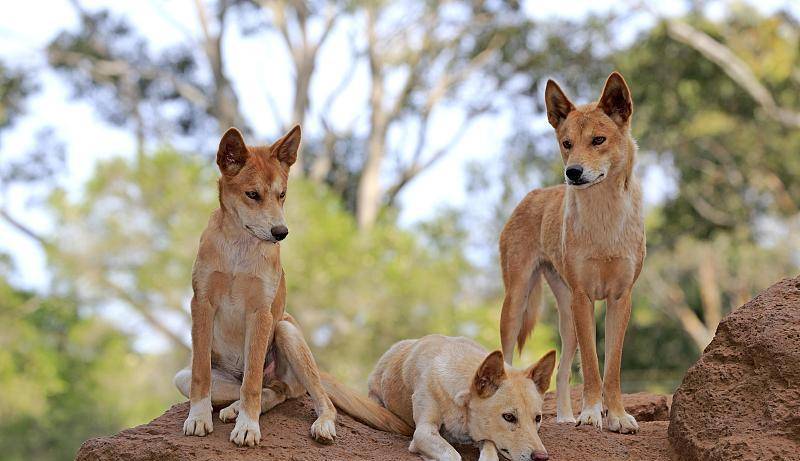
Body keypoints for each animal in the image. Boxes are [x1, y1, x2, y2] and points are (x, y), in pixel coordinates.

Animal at [173, 125, 336, 446]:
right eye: (252, 194)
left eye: (282, 194)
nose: (281, 232)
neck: (240, 246)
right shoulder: (202, 303)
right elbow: (201, 375)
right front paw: (198, 417)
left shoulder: (261, 312)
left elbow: (251, 385)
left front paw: (248, 427)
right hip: (187, 376)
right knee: (263, 388)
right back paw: (232, 408)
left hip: (285, 331)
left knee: (296, 393)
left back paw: (321, 424)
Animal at [320, 334, 556, 460]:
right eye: (509, 417)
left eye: (538, 418)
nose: (542, 457)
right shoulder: (423, 431)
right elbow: (453, 455)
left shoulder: (484, 437)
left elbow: (490, 450)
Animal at [500, 73, 644, 434]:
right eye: (566, 143)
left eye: (598, 140)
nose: (573, 173)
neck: (604, 218)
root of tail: (533, 194)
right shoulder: (584, 297)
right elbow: (593, 367)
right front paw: (592, 414)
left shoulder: (620, 298)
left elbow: (612, 368)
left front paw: (617, 416)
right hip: (517, 302)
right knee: (504, 358)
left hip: (566, 319)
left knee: (562, 370)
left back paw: (565, 417)